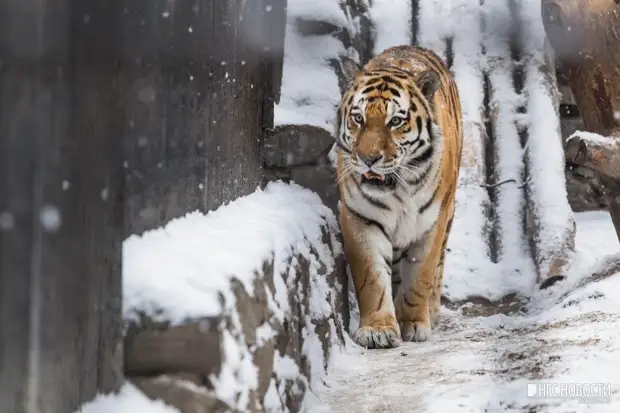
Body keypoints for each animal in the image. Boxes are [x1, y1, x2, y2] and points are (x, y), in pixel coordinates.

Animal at [334, 45, 460, 348]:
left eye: (395, 122)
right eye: (358, 118)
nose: (368, 159)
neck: (399, 190)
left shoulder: (432, 223)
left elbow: (420, 278)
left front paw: (413, 324)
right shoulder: (360, 218)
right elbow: (372, 277)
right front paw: (378, 330)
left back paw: (432, 312)